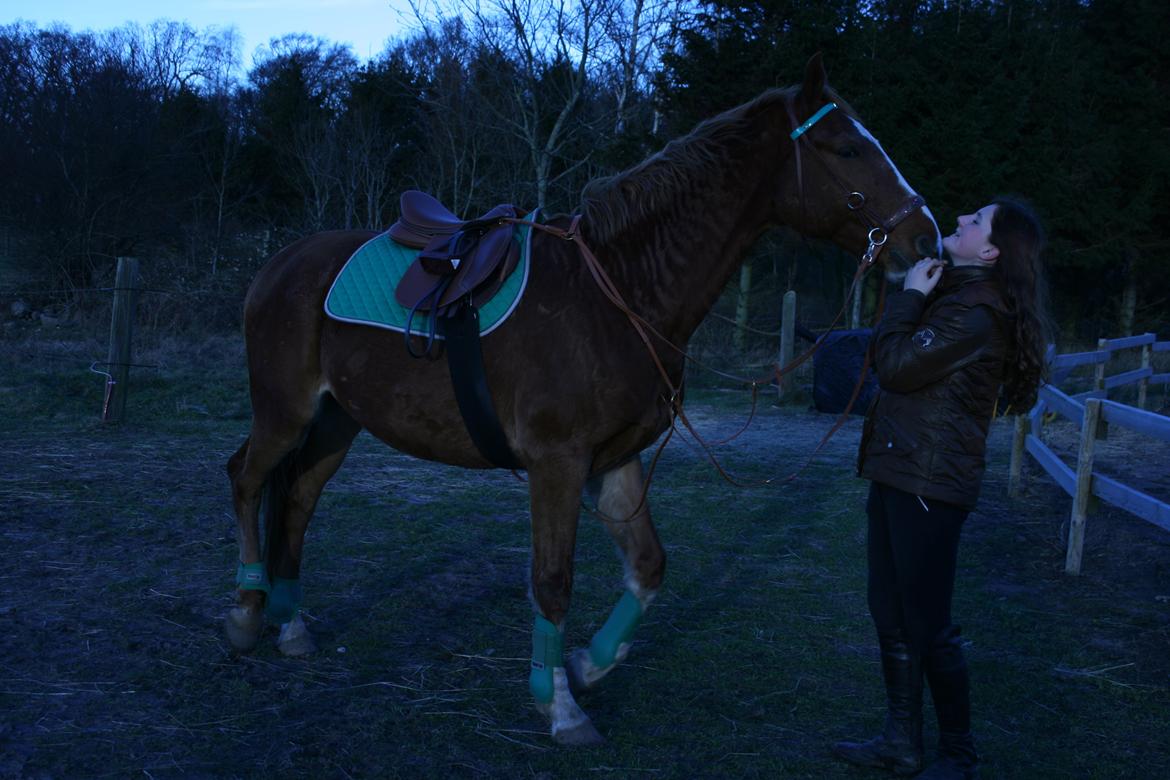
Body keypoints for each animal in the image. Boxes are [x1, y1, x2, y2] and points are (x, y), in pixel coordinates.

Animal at [225, 57, 940, 748]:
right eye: (847, 147)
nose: (926, 239)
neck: (618, 293)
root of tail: (281, 262)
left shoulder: (615, 461)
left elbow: (649, 568)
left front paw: (586, 667)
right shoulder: (557, 463)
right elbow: (553, 581)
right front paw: (561, 707)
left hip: (336, 422)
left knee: (297, 497)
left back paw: (291, 625)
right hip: (285, 412)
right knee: (247, 478)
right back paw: (247, 613)